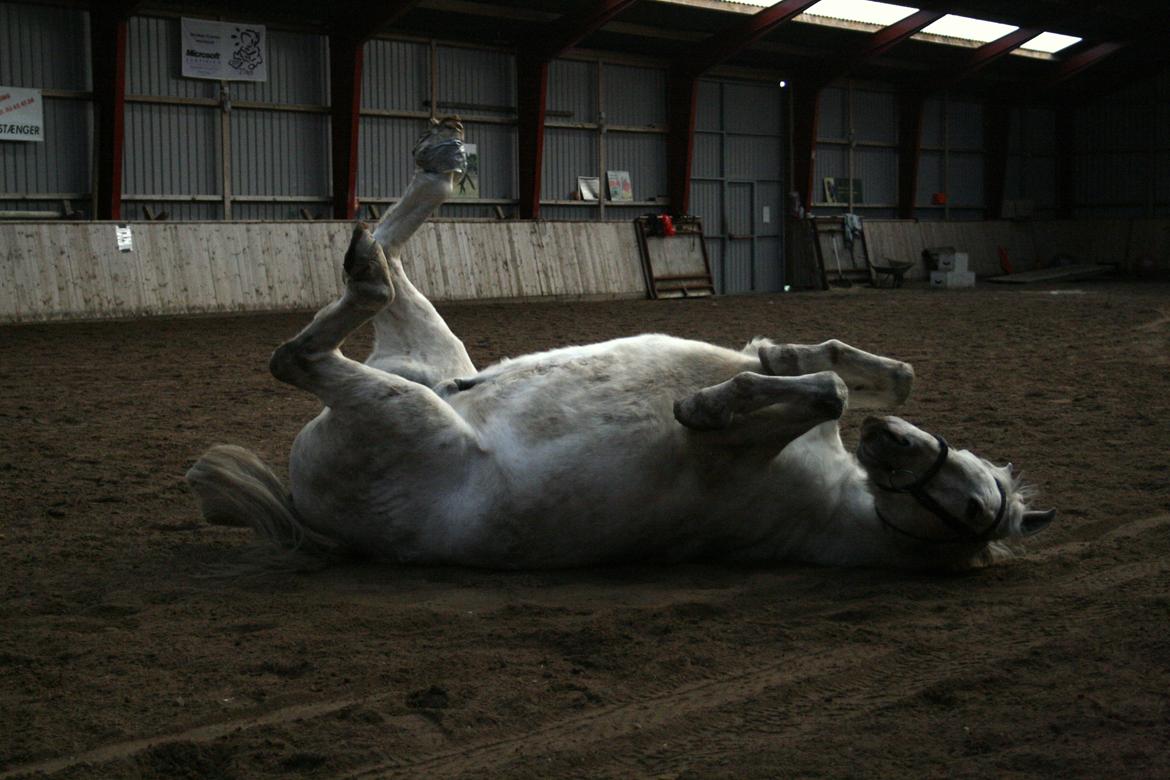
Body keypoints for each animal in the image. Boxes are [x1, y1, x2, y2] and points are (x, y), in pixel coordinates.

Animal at [187, 119, 1057, 570]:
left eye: (974, 505)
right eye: (968, 469)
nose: (884, 443)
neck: (839, 498)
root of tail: (304, 506)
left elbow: (820, 390)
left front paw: (706, 404)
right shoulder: (789, 367)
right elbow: (839, 367)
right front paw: (787, 382)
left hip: (401, 410)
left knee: (305, 349)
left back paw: (383, 238)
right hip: (425, 363)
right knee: (387, 262)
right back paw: (434, 167)